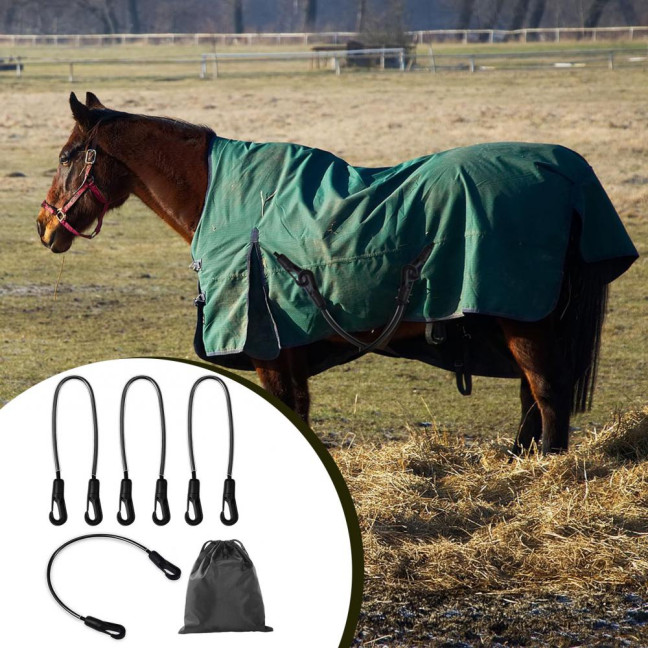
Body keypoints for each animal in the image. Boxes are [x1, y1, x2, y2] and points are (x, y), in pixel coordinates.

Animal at [37, 92, 637, 455]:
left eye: (67, 156)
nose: (44, 225)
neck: (227, 201)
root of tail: (568, 176)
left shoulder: (268, 349)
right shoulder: (289, 352)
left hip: (525, 322)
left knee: (548, 395)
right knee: (532, 399)